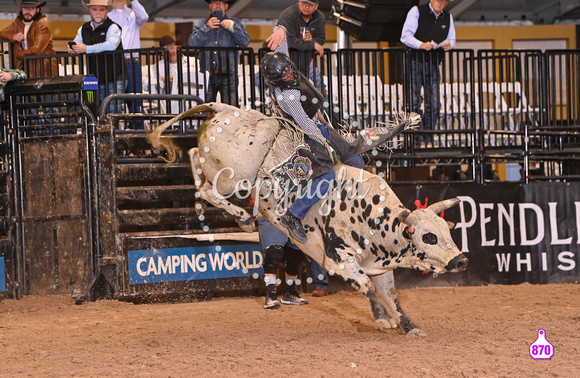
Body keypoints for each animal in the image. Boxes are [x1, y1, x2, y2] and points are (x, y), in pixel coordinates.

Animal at [148, 102, 466, 336]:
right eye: (428, 236)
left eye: (447, 232)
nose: (460, 260)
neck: (373, 218)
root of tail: (222, 108)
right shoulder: (339, 260)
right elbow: (365, 285)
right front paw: (381, 319)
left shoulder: (381, 267)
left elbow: (392, 297)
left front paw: (409, 326)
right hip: (232, 177)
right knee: (205, 186)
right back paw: (242, 218)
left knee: (193, 156)